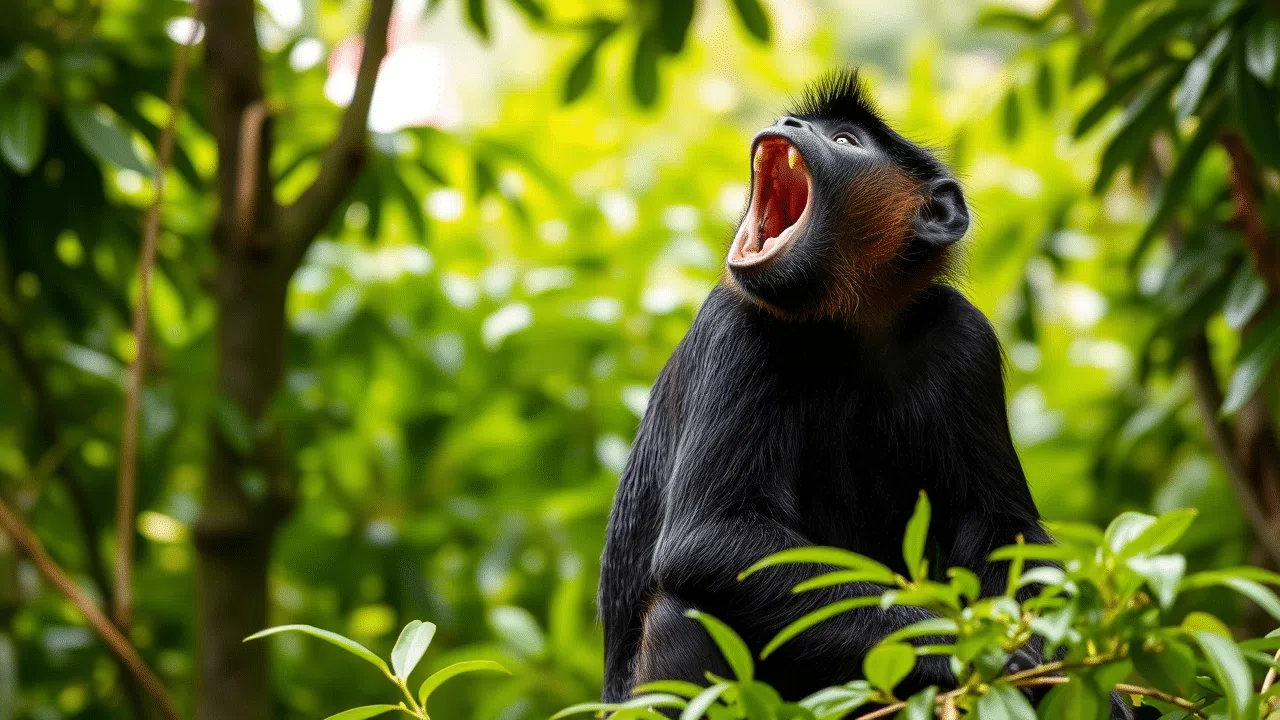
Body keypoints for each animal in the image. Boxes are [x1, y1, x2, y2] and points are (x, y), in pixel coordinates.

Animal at [598, 70, 1131, 719]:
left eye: (846, 140)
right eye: (810, 126)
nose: (790, 125)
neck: (849, 329)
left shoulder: (965, 338)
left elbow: (1002, 529)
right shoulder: (736, 323)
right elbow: (710, 539)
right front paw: (978, 656)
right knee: (685, 611)